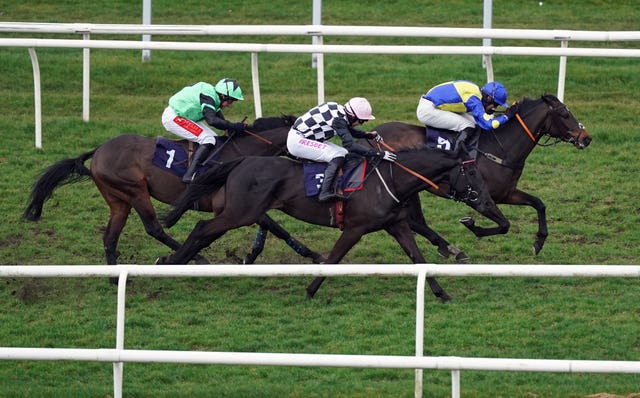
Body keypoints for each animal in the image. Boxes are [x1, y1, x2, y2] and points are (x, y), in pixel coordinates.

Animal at [23, 116, 324, 268]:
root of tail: (98, 151)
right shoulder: (229, 204)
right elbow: (275, 226)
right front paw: (313, 255)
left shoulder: (251, 200)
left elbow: (271, 227)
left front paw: (253, 255)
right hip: (135, 190)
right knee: (154, 228)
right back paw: (196, 258)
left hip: (118, 199)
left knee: (110, 236)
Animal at [159, 145, 504, 300]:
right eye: (472, 172)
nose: (488, 203)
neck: (390, 180)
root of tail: (243, 160)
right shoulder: (355, 228)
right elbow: (335, 258)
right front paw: (311, 289)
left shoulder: (397, 226)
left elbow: (418, 259)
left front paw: (441, 293)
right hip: (240, 213)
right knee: (201, 229)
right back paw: (172, 262)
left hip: (239, 212)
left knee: (203, 233)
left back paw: (174, 261)